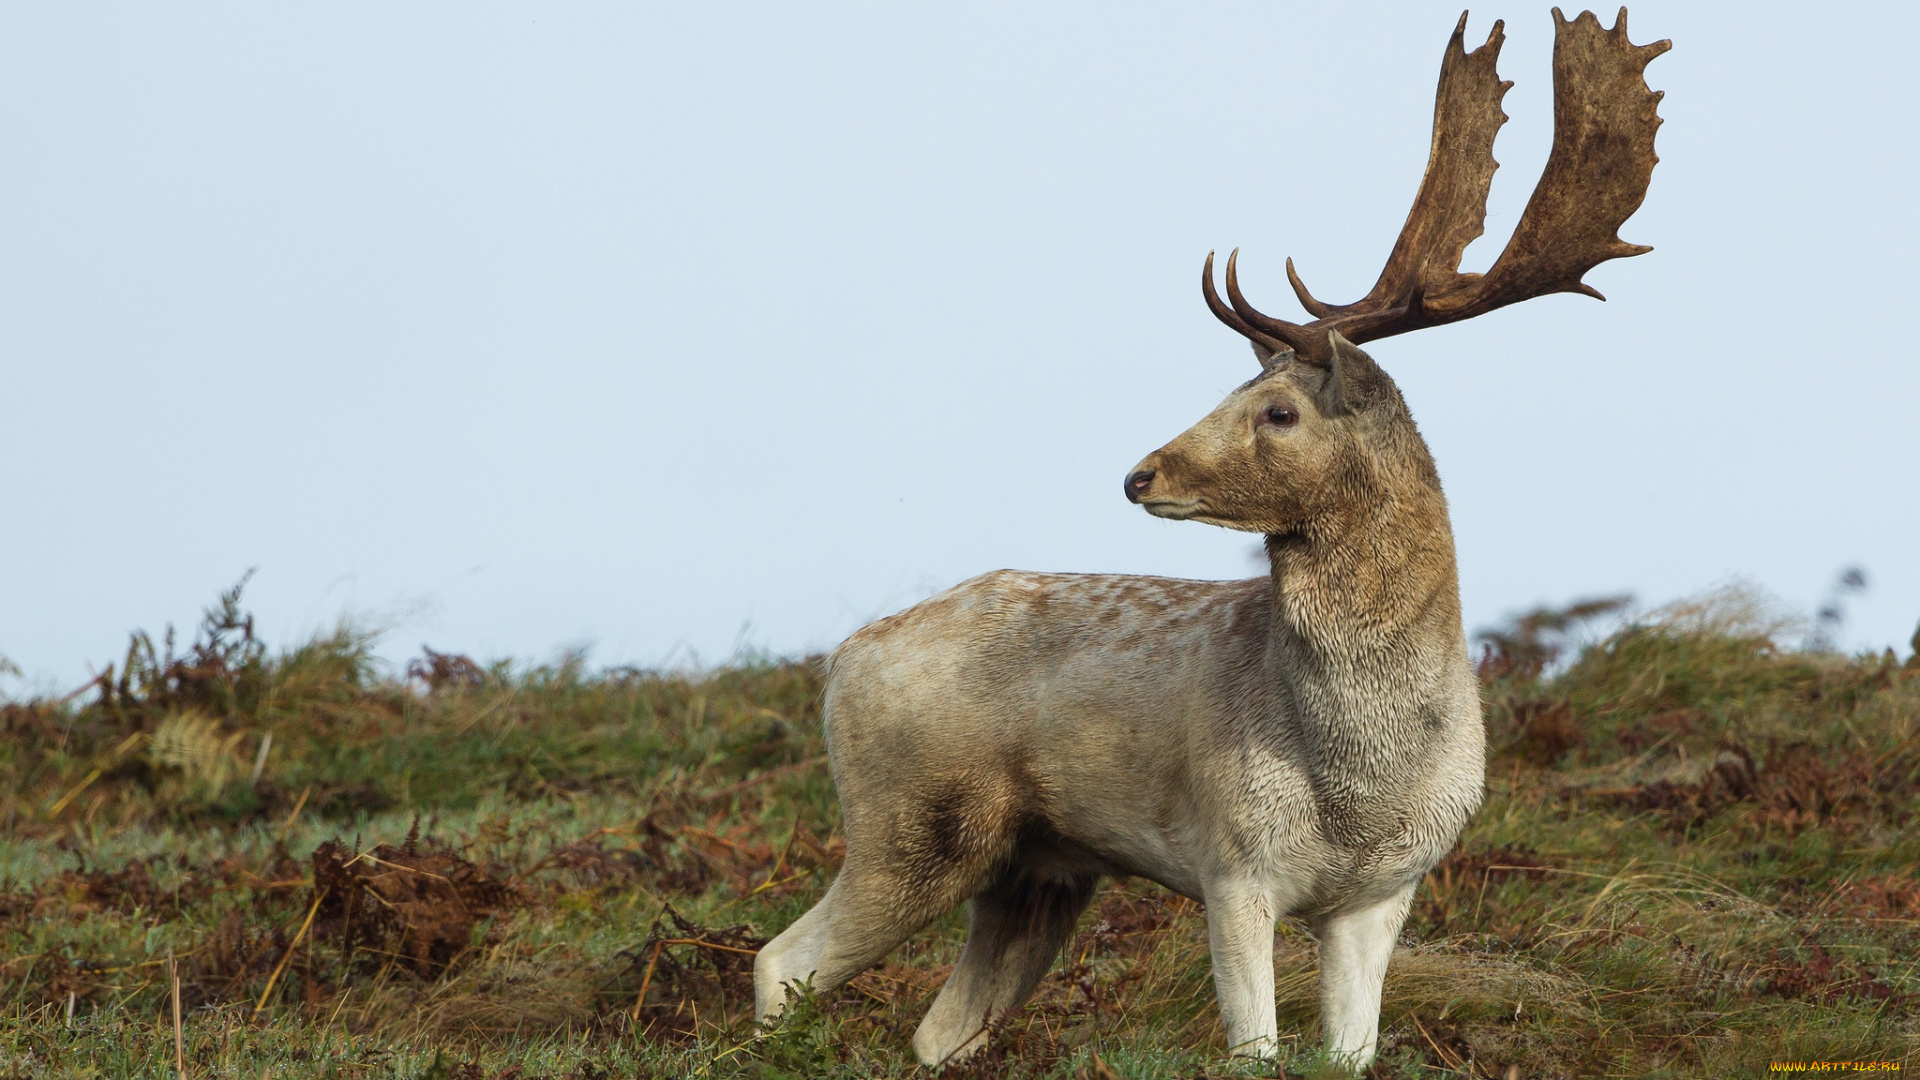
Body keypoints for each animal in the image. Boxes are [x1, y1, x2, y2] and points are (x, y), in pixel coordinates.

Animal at [748, 8, 1666, 1068]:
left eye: (1277, 410)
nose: (1141, 473)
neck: (1361, 791)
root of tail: (840, 660)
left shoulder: (1386, 891)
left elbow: (1349, 1054)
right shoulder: (1232, 860)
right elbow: (1253, 1050)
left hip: (1034, 871)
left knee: (937, 1029)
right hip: (910, 821)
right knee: (782, 957)